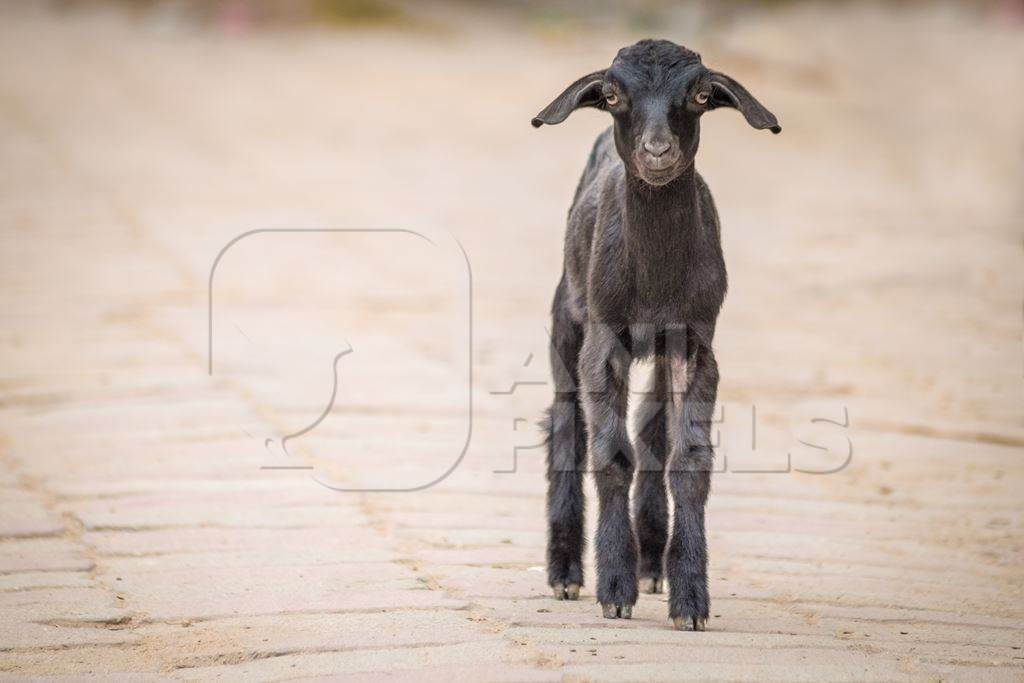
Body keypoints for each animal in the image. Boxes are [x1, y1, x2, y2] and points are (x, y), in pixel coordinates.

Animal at [532, 41, 778, 630]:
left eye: (701, 95)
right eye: (612, 94)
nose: (658, 150)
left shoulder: (695, 344)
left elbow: (687, 460)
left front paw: (689, 598)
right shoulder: (604, 344)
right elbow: (610, 455)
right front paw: (613, 589)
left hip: (662, 351)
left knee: (650, 427)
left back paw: (651, 563)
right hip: (568, 321)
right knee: (565, 424)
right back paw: (566, 571)